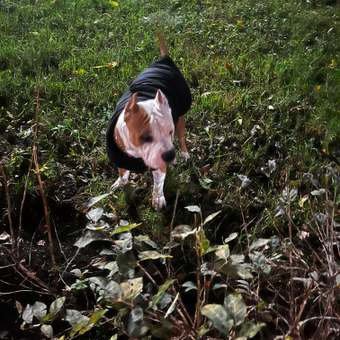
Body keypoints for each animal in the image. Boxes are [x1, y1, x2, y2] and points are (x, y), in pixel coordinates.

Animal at [106, 34, 191, 210]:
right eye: (145, 137)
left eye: (170, 132)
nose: (170, 154)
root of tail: (164, 60)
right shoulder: (119, 158)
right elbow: (123, 174)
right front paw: (120, 183)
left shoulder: (160, 163)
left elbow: (158, 182)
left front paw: (157, 198)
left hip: (181, 115)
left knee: (182, 137)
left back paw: (184, 153)